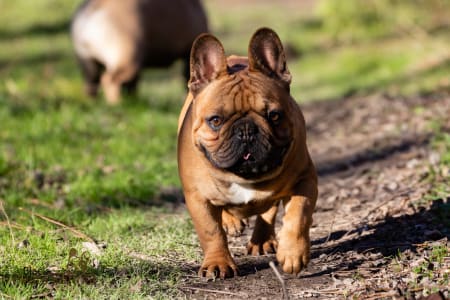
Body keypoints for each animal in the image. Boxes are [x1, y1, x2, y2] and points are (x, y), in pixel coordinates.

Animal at [71, 0, 208, 103]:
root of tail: (90, 11)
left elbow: (133, 84)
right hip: (128, 60)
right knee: (110, 80)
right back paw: (117, 103)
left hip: (89, 63)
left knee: (92, 83)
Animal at [178, 28, 318, 278]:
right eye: (215, 120)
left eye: (275, 115)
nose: (246, 130)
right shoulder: (197, 197)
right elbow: (211, 232)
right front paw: (218, 263)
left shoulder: (305, 179)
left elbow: (298, 214)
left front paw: (293, 254)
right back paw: (232, 222)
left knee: (268, 212)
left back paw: (262, 241)